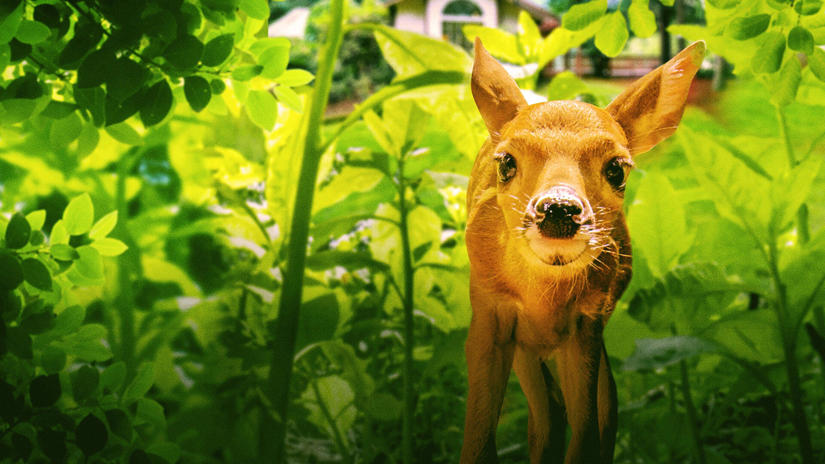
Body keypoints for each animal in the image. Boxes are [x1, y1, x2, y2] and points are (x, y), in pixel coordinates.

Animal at [460, 38, 704, 462]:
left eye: (617, 169)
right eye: (506, 162)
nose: (559, 209)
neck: (544, 299)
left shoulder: (588, 319)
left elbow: (590, 430)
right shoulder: (490, 312)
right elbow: (476, 439)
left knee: (589, 414)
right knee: (549, 414)